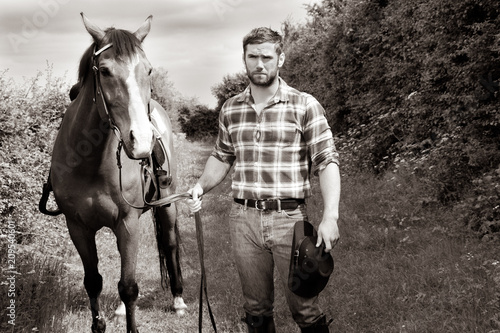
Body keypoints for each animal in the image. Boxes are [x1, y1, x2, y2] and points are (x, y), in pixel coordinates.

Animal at [39, 12, 187, 330]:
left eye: (148, 69)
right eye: (105, 71)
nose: (141, 141)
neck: (91, 163)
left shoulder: (128, 223)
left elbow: (129, 286)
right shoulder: (77, 227)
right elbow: (94, 282)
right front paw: (99, 324)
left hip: (167, 203)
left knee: (169, 243)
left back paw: (179, 300)